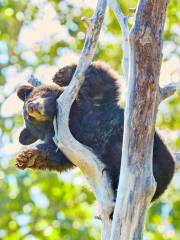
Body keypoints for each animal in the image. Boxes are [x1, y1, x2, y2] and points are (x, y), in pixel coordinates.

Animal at [16, 61, 174, 201]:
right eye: (30, 119)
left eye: (34, 96)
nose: (31, 107)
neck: (71, 117)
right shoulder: (67, 140)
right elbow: (57, 156)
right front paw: (25, 157)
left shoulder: (96, 105)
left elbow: (101, 83)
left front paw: (63, 74)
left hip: (159, 157)